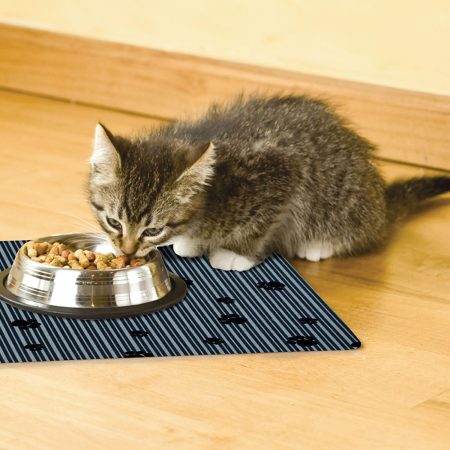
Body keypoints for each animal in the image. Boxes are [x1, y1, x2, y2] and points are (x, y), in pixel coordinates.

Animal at [88, 95, 450, 270]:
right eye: (113, 222)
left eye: (153, 229)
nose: (126, 251)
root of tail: (380, 203)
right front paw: (189, 243)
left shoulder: (280, 175)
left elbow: (259, 224)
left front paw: (236, 254)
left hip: (344, 203)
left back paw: (318, 245)